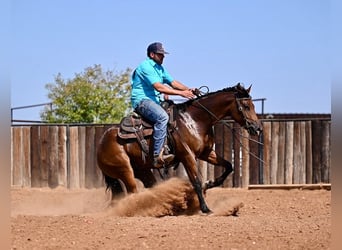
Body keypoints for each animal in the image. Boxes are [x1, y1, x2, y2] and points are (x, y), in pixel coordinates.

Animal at [96, 82, 262, 213]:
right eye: (246, 106)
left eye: (253, 105)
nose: (258, 128)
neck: (195, 120)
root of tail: (101, 143)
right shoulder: (187, 156)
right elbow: (196, 181)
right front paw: (205, 208)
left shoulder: (206, 153)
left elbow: (229, 166)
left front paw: (209, 184)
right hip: (125, 170)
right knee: (133, 192)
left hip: (142, 170)